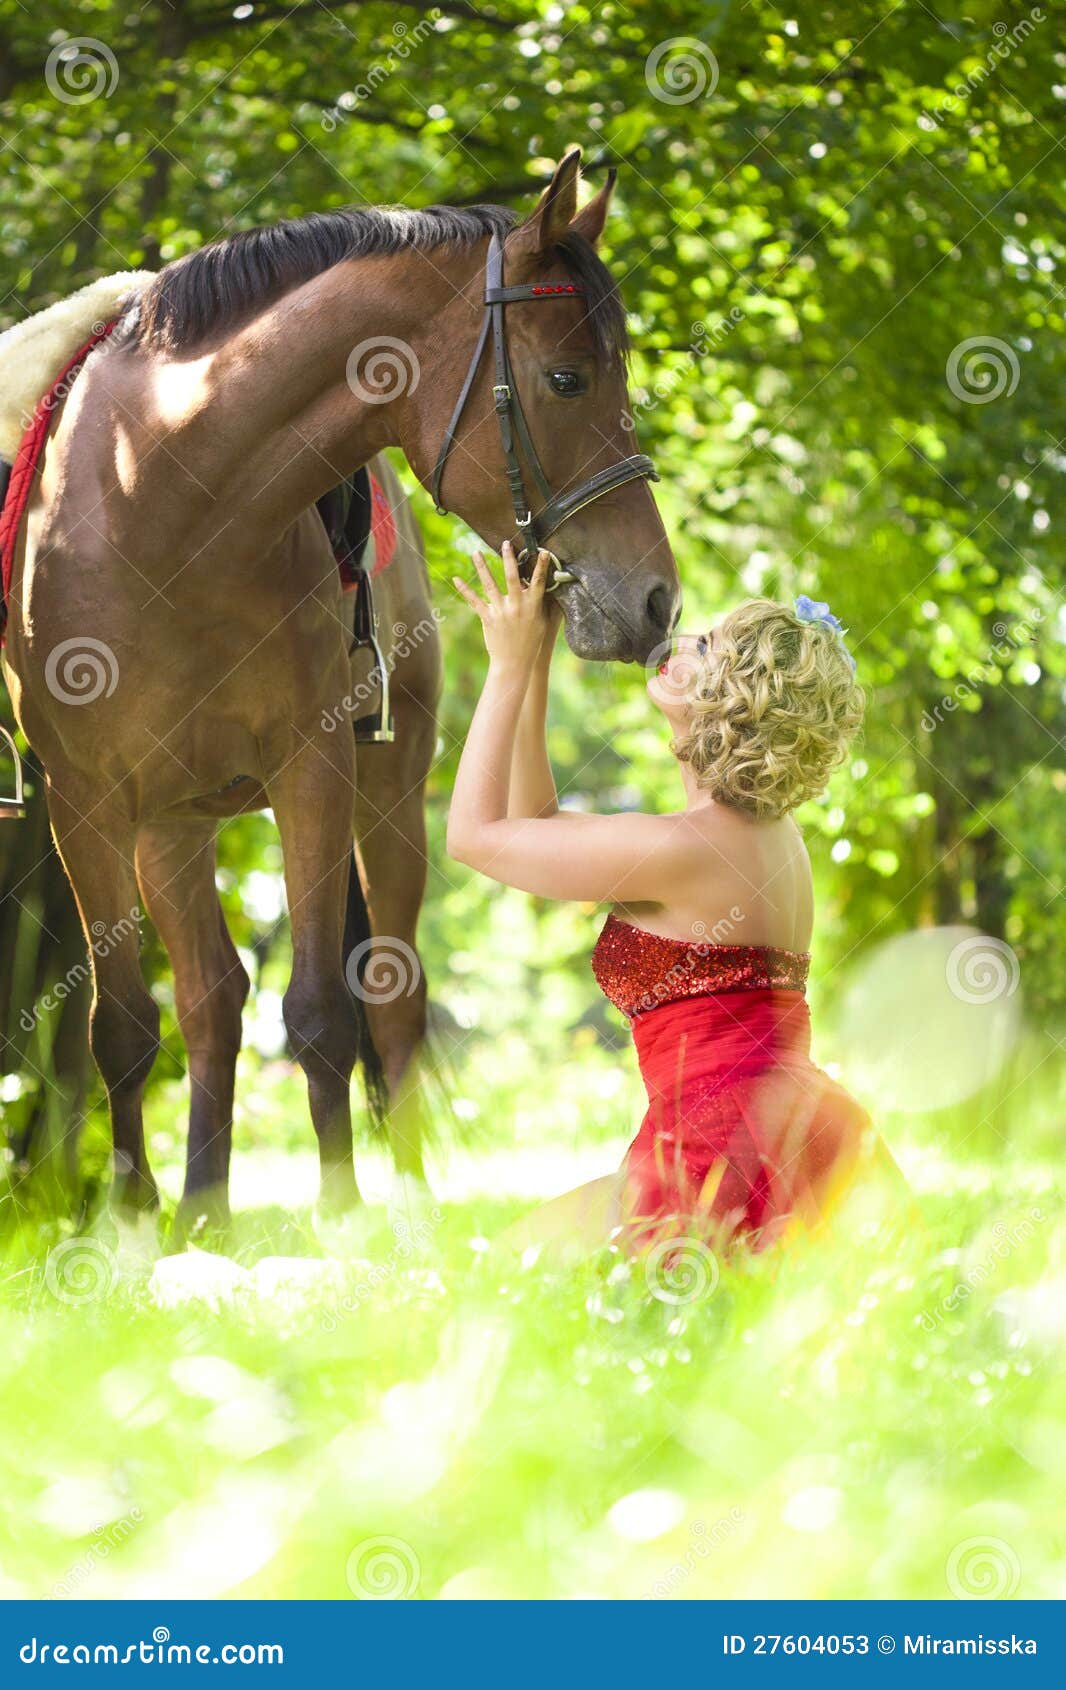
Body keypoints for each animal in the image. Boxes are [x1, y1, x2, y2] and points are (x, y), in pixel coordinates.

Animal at [0, 148, 680, 1221]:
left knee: (390, 1000)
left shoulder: (314, 774)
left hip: (385, 798)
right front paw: (135, 1223)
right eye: (568, 378)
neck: (160, 499)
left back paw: (403, 1203)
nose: (657, 599)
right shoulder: (87, 804)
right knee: (209, 999)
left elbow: (323, 1008)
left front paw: (345, 1216)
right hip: (169, 825)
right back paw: (203, 1210)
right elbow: (124, 1027)